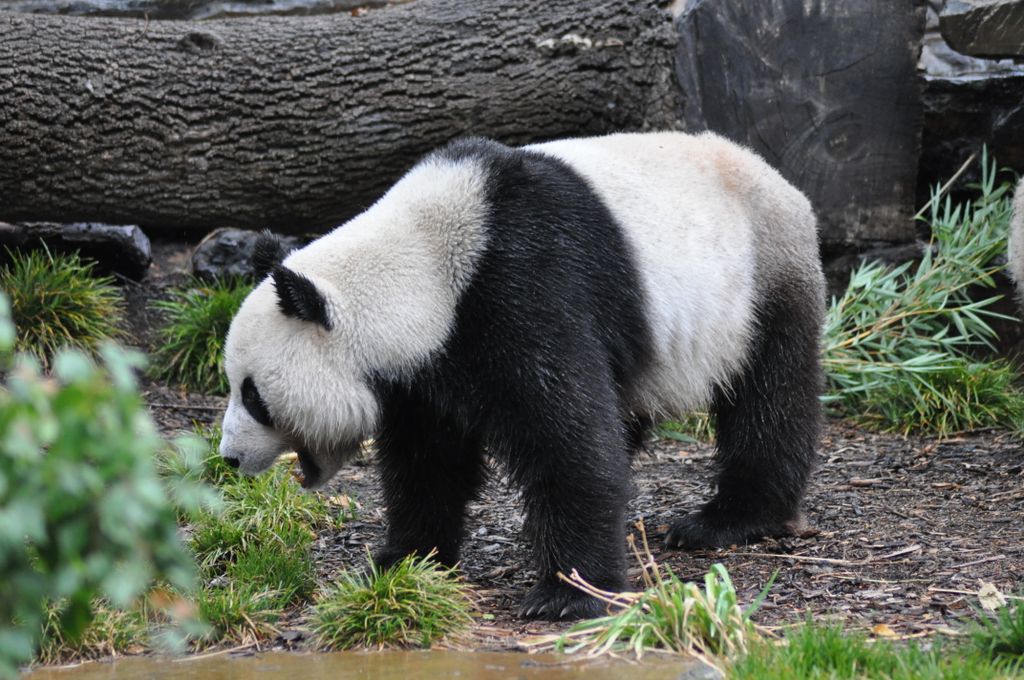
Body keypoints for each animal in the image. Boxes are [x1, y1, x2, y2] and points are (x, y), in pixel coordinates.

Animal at [219, 131, 825, 620]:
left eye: (253, 396)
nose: (229, 458)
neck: (420, 266)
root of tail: (779, 180)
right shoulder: (427, 364)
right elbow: (428, 462)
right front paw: (403, 561)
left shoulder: (524, 286)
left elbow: (568, 439)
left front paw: (568, 595)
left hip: (760, 283)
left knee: (769, 396)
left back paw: (729, 520)